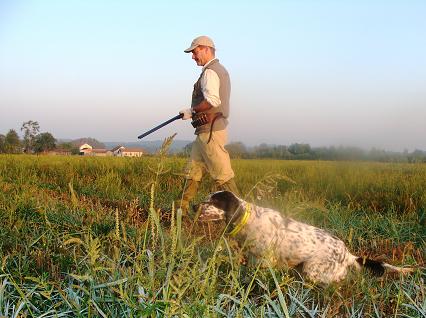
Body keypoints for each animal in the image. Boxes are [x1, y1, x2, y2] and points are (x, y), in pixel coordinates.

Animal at [196, 190, 412, 284]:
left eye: (214, 201)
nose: (193, 206)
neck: (247, 219)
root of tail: (347, 254)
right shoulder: (252, 258)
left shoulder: (264, 262)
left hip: (312, 269)